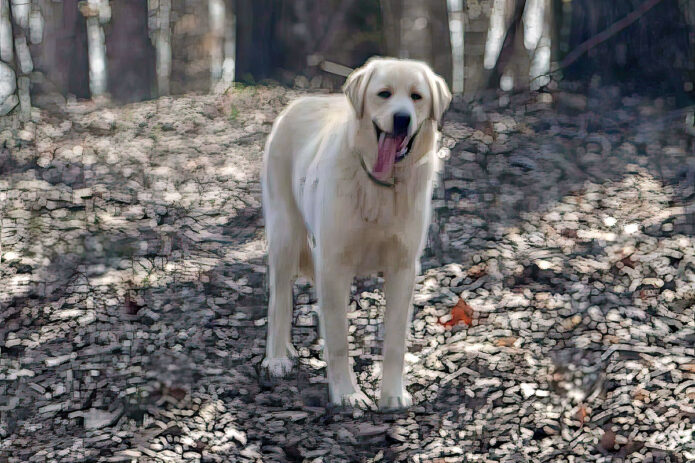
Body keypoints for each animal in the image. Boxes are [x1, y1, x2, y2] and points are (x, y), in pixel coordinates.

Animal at [260, 58, 452, 410]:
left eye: (416, 97)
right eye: (384, 94)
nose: (402, 119)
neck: (379, 186)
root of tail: (300, 101)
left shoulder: (403, 269)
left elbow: (395, 341)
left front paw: (392, 394)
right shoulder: (334, 266)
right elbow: (338, 340)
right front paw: (347, 393)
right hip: (285, 236)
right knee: (279, 298)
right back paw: (277, 357)